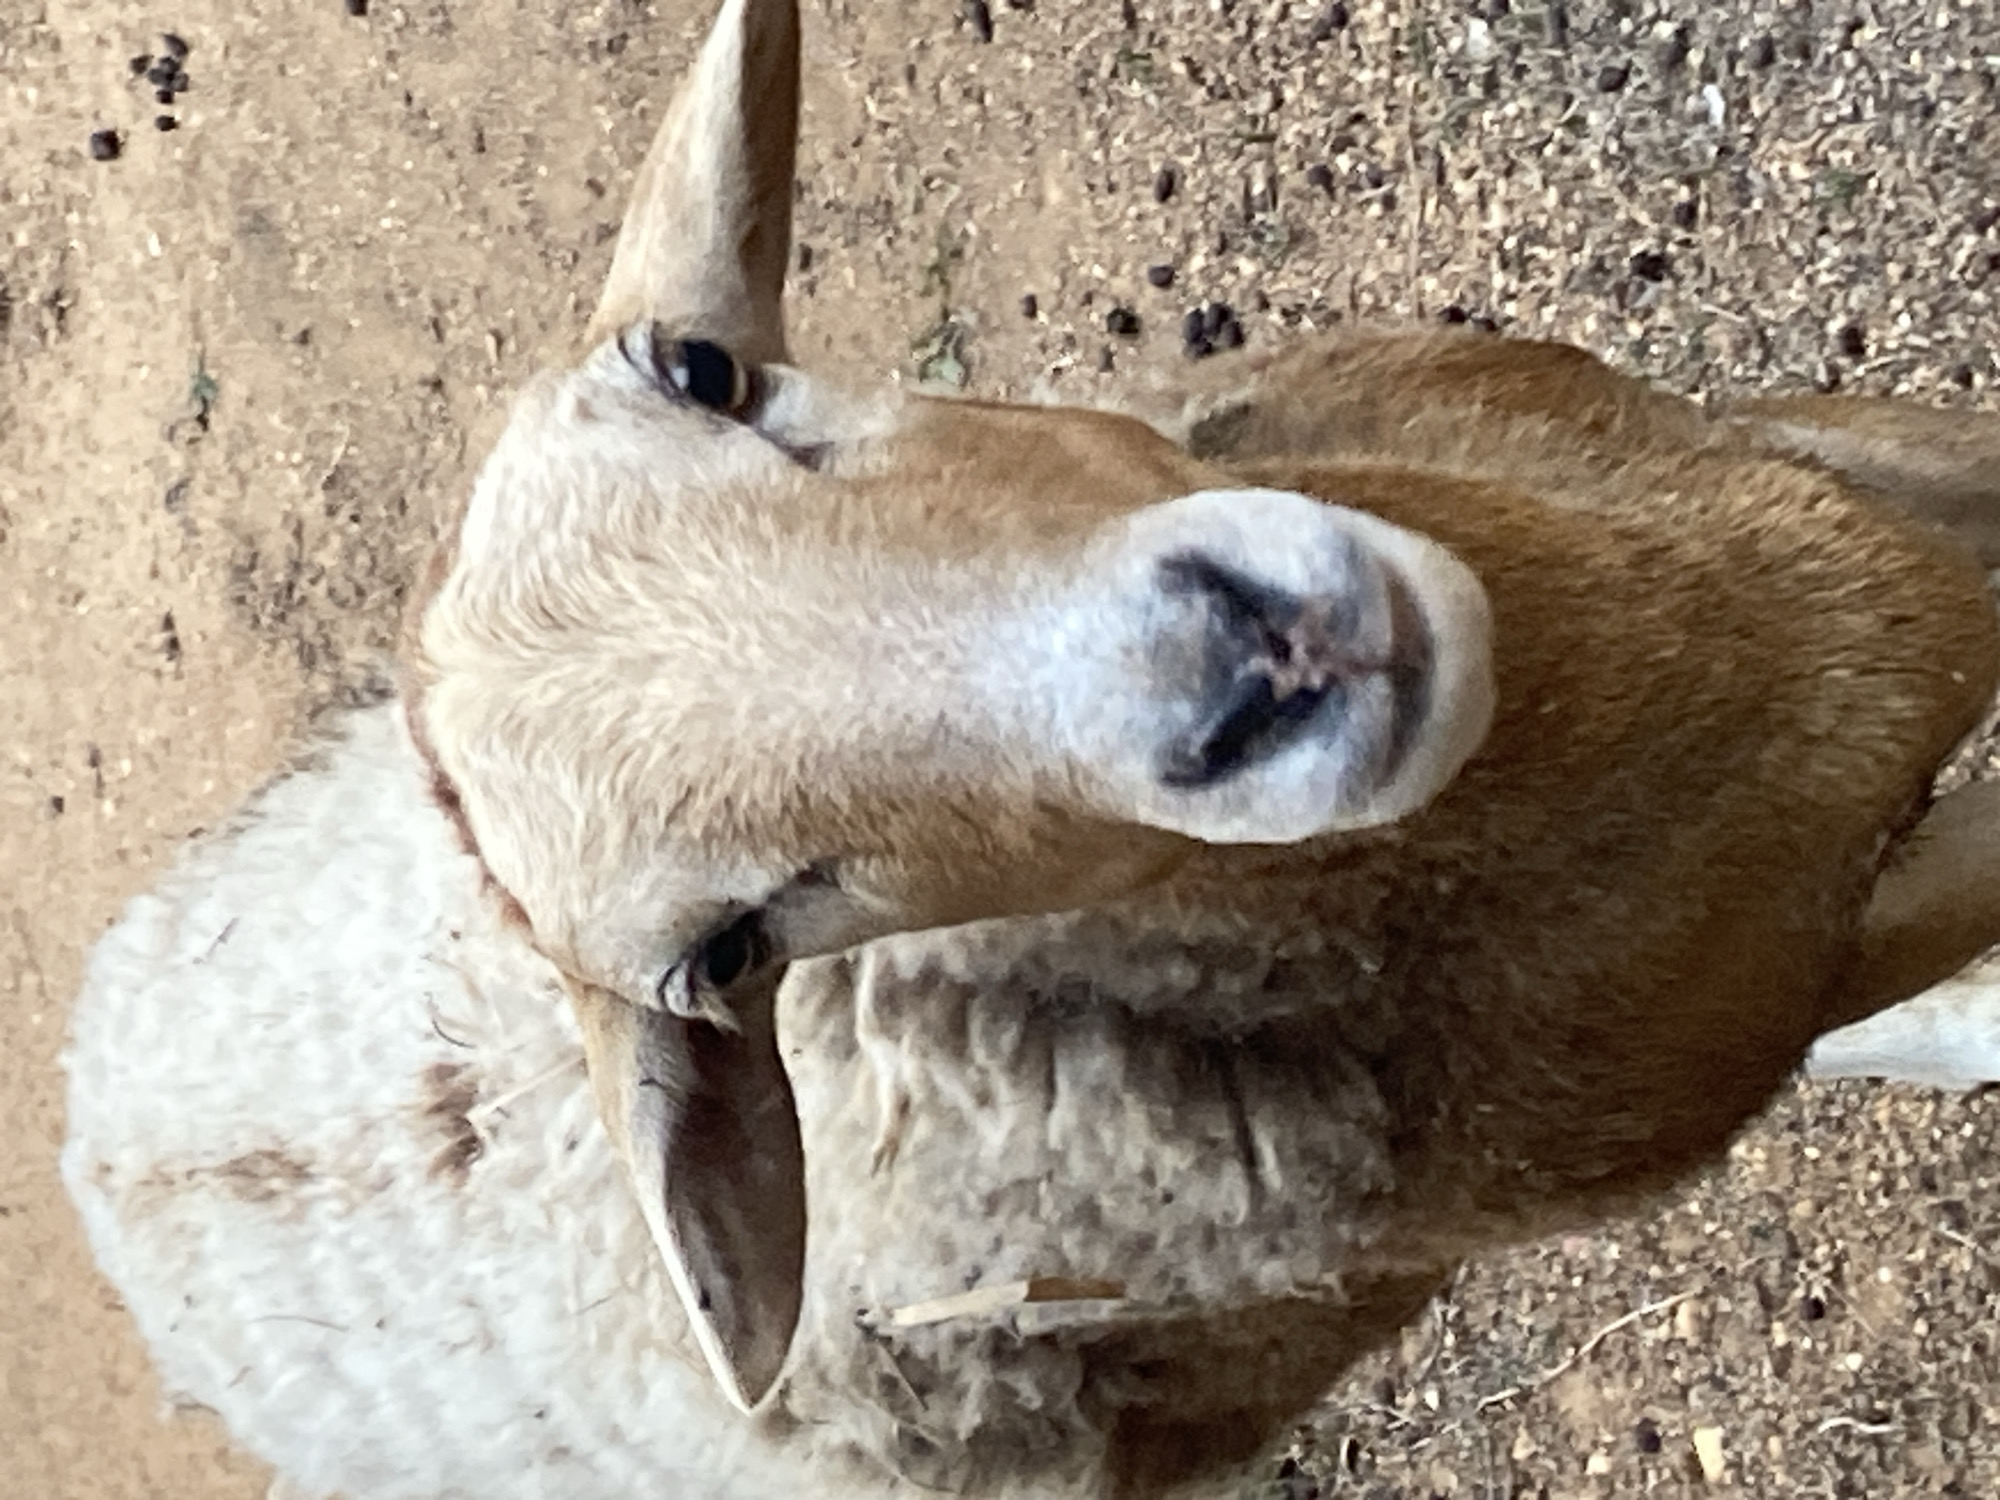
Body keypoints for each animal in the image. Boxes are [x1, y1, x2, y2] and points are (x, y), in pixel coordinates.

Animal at [62, 0, 2000, 1495]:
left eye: (707, 370)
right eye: (734, 950)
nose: (1245, 665)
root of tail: (102, 1129)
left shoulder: (1762, 463)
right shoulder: (1761, 981)